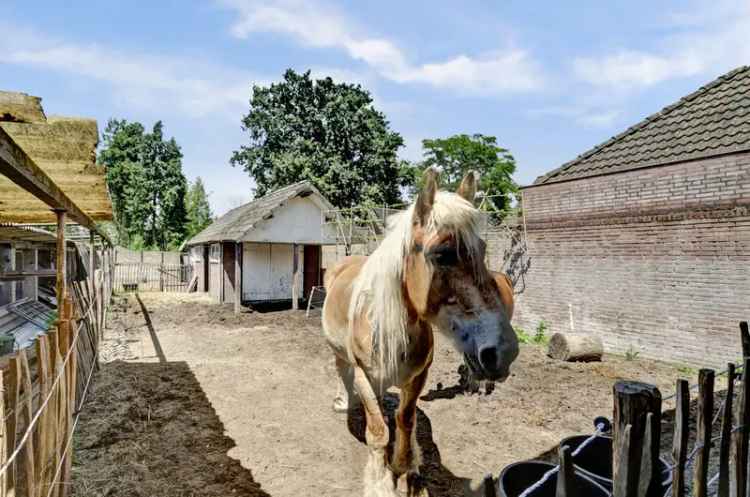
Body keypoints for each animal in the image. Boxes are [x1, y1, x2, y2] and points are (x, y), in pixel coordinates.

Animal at [324, 169, 524, 494]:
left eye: (482, 250)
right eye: (442, 255)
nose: (504, 350)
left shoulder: (418, 376)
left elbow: (405, 420)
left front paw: (405, 469)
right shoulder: (364, 374)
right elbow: (377, 431)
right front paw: (381, 481)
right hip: (341, 354)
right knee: (343, 371)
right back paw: (344, 402)